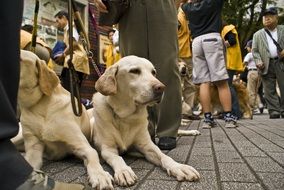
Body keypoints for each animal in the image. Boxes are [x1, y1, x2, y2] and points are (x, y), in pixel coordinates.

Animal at [16, 49, 113, 189]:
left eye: (19, 58)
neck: (39, 107)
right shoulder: (33, 148)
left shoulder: (81, 145)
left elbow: (93, 156)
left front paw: (100, 175)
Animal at [91, 55, 200, 186]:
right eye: (134, 71)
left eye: (153, 72)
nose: (161, 88)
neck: (126, 116)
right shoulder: (107, 149)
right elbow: (117, 158)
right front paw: (124, 171)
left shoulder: (147, 145)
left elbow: (164, 156)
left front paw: (179, 167)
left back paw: (193, 131)